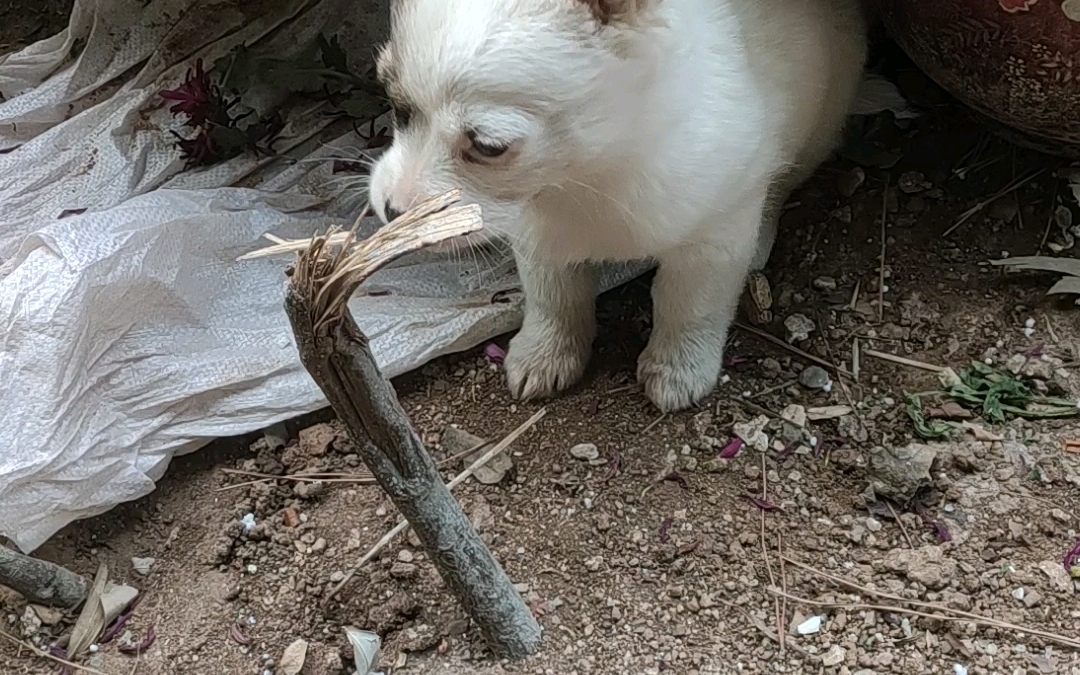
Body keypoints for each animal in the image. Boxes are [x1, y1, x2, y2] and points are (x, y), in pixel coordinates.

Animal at [371, 0, 868, 410]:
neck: (584, 178)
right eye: (396, 107)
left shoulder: (713, 238)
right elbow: (554, 296)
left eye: (488, 147)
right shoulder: (540, 234)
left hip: (817, 128)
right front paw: (545, 352)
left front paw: (679, 366)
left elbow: (689, 305)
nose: (393, 213)